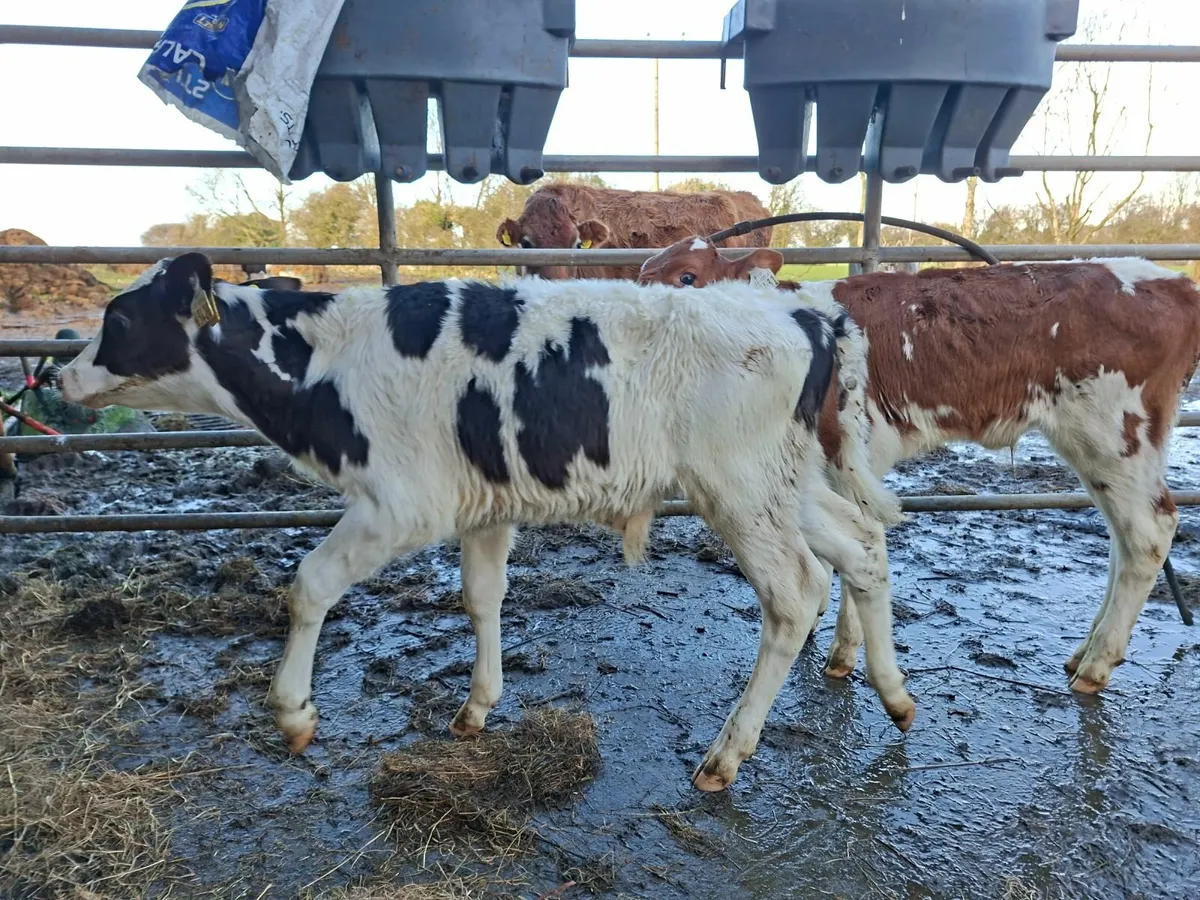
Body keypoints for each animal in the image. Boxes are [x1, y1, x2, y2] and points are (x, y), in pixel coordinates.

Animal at [58, 253, 915, 792]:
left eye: (119, 319)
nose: (60, 374)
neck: (324, 359)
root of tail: (801, 307)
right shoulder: (483, 505)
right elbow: (481, 596)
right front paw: (477, 705)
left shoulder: (401, 503)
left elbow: (309, 585)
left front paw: (294, 713)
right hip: (785, 485)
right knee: (863, 546)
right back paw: (893, 693)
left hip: (739, 489)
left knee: (795, 595)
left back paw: (725, 757)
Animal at [638, 237, 1200, 695]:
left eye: (687, 276)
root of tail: (1173, 281)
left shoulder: (848, 457)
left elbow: (861, 544)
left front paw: (844, 651)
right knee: (1123, 539)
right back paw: (1084, 652)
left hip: (1115, 436)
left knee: (1150, 533)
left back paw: (1095, 667)